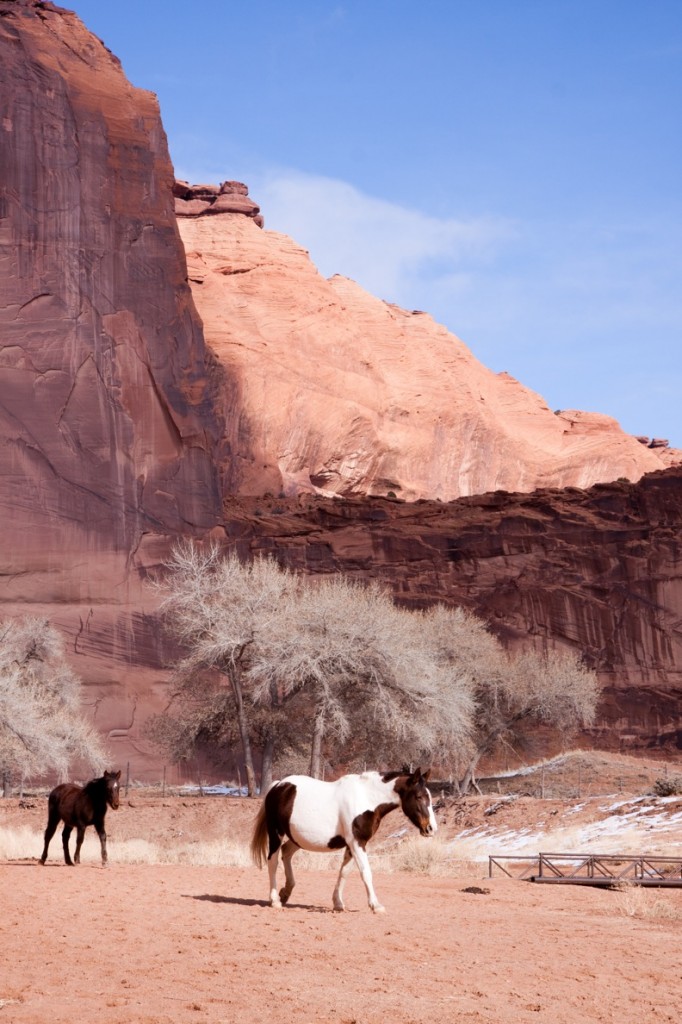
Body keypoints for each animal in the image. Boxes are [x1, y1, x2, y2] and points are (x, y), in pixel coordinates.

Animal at [250, 767, 437, 913]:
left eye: (429, 796)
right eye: (419, 796)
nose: (431, 828)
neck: (367, 798)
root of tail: (278, 786)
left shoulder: (352, 844)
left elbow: (344, 872)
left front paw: (338, 903)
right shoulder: (357, 842)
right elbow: (365, 872)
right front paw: (375, 905)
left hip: (297, 839)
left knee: (286, 853)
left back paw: (286, 892)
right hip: (276, 833)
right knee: (273, 861)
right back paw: (275, 900)